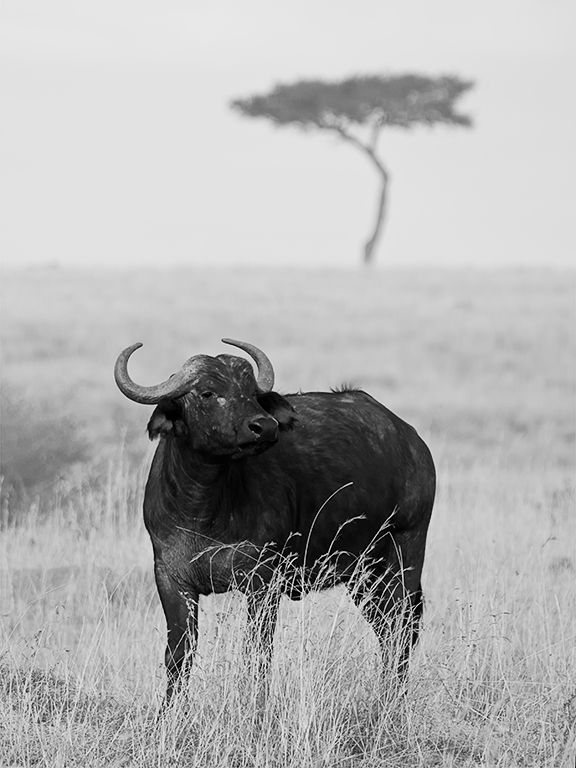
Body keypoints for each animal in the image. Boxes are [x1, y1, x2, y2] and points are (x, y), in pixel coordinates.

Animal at [114, 339, 435, 701]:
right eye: (208, 392)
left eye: (252, 392)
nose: (264, 427)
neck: (203, 510)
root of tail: (412, 441)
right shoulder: (171, 579)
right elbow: (179, 654)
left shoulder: (263, 581)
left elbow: (257, 653)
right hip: (363, 575)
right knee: (386, 629)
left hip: (405, 554)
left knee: (402, 629)